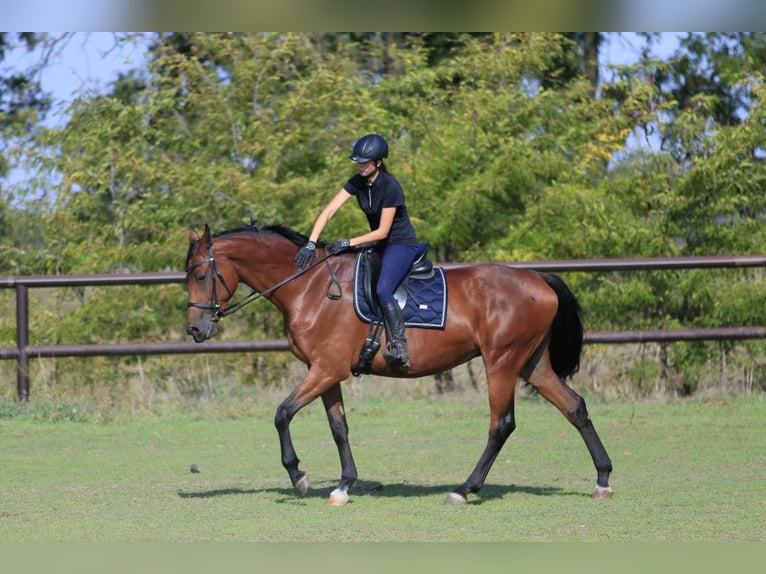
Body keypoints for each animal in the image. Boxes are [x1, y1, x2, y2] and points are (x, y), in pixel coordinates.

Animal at [183, 223, 616, 506]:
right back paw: (602, 478)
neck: (309, 287)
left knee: (501, 424)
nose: (194, 328)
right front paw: (344, 485)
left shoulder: (325, 370)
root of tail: (540, 279)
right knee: (575, 407)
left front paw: (298, 476)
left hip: (502, 363)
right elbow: (339, 428)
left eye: (201, 274)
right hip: (532, 364)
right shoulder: (327, 373)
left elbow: (282, 414)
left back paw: (464, 489)